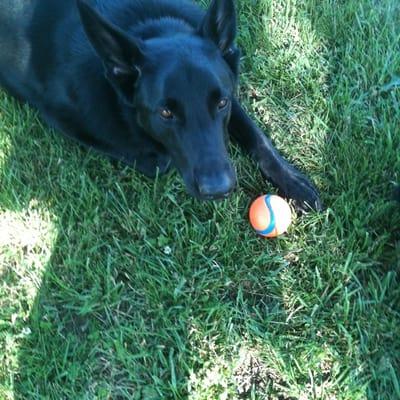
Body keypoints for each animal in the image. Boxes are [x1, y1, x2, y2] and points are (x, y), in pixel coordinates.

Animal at [0, 0, 320, 211]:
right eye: (166, 113)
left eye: (221, 103)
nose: (219, 190)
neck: (150, 27)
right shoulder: (59, 115)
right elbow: (158, 162)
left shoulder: (230, 91)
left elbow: (257, 137)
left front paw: (292, 181)